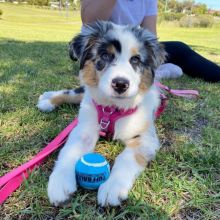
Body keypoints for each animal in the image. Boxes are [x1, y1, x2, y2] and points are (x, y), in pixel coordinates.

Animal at [37, 20, 166, 206]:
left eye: (135, 59)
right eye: (105, 56)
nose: (120, 84)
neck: (112, 108)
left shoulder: (145, 138)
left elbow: (126, 159)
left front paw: (112, 187)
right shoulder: (84, 129)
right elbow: (69, 151)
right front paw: (60, 182)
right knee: (74, 92)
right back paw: (48, 100)